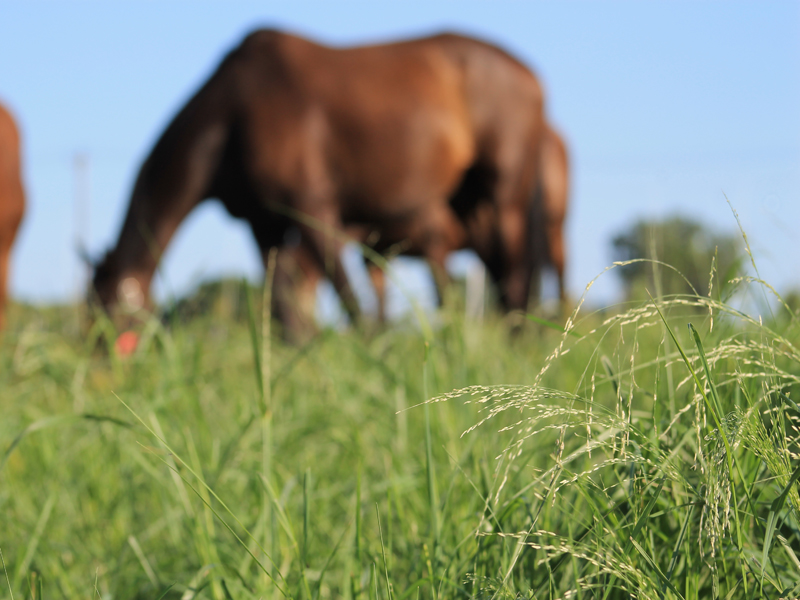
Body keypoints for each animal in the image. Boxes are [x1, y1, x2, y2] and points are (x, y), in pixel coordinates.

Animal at [92, 31, 544, 342]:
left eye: (106, 312)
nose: (100, 370)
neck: (233, 117)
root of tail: (530, 75)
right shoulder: (264, 224)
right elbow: (283, 308)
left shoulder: (312, 207)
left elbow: (348, 298)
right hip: (469, 203)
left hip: (504, 196)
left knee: (516, 276)